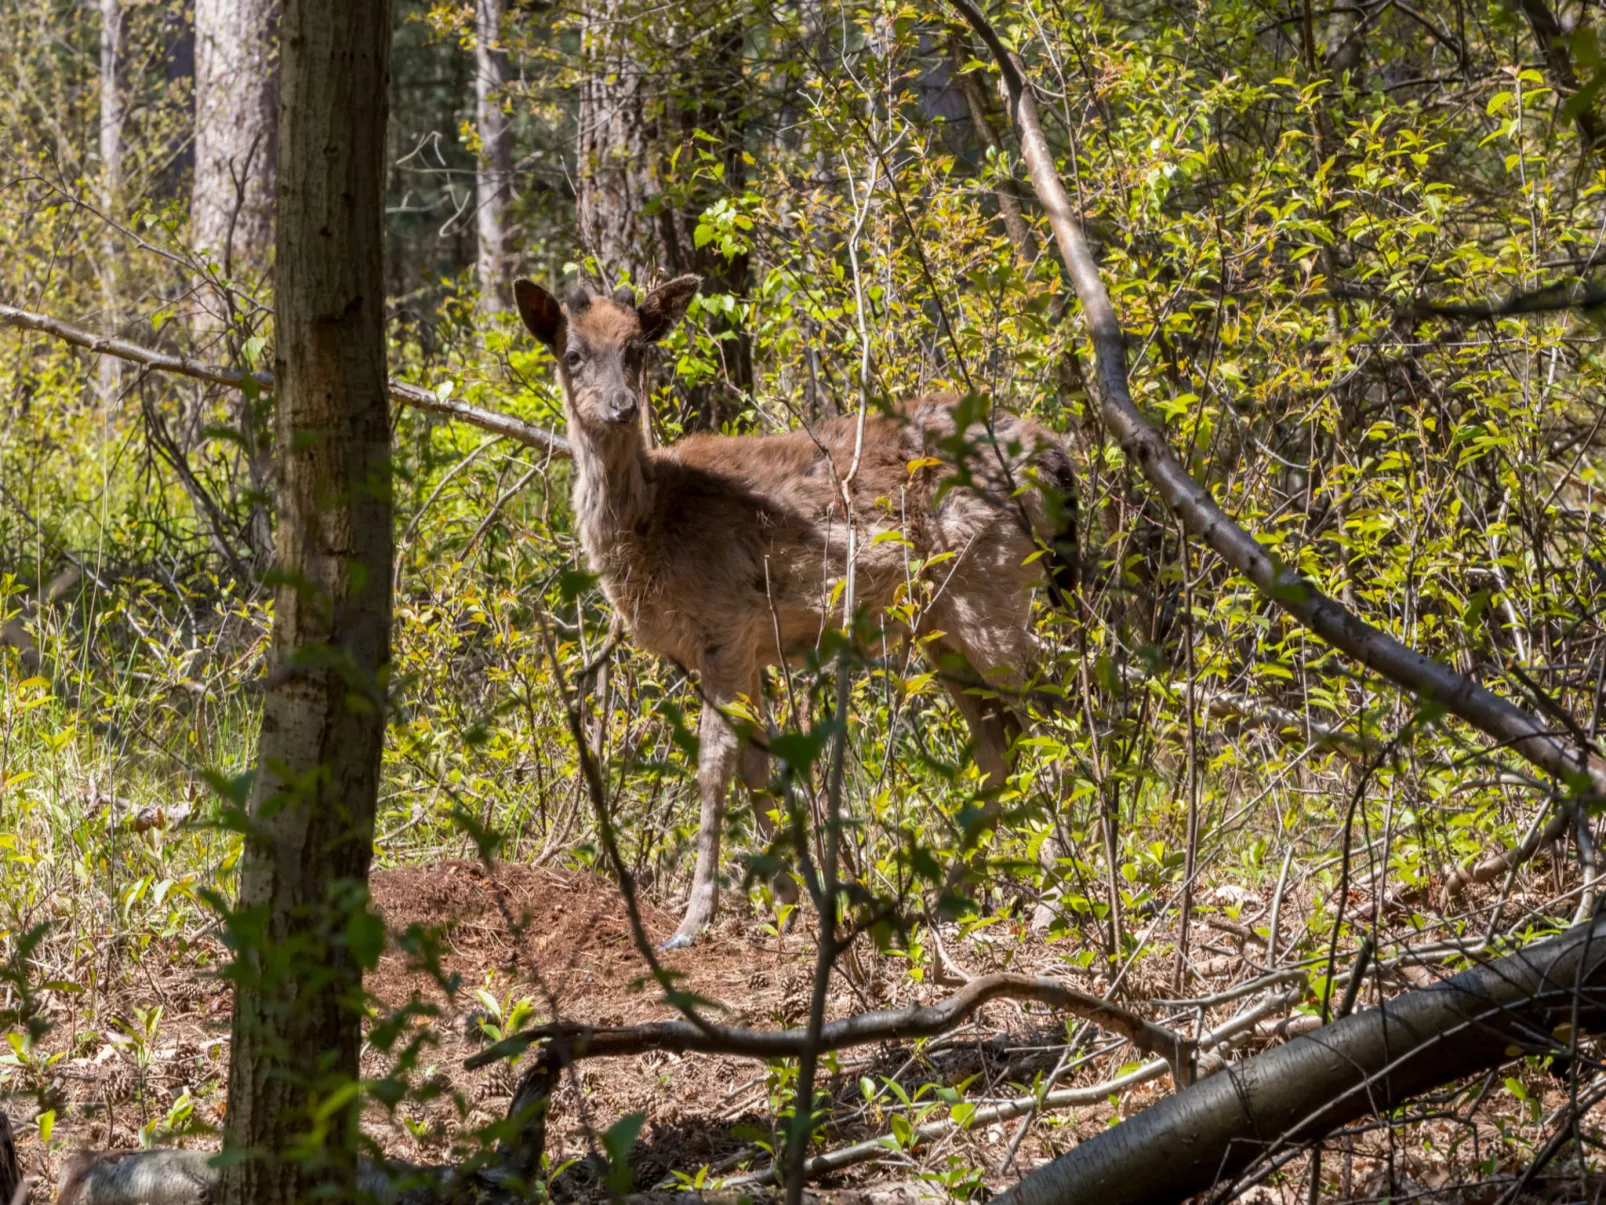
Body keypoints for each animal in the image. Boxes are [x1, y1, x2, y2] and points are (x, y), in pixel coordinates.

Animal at [517, 276, 1079, 951]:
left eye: (637, 349)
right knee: (1002, 744)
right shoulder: (740, 648)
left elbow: (714, 768)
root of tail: (1056, 456)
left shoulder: (725, 624)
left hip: (991, 584)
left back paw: (1058, 899)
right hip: (942, 622)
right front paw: (789, 900)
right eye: (572, 354)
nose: (622, 406)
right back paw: (946, 901)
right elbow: (758, 767)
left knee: (1056, 714)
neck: (654, 523)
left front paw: (693, 920)